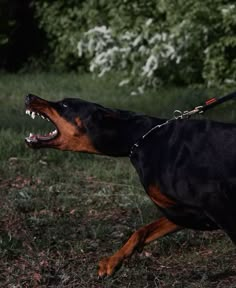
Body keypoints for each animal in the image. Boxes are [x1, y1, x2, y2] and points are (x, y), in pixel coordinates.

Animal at [24, 93, 236, 276]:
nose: (28, 96)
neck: (139, 139)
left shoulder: (215, 203)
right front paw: (113, 261)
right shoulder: (185, 212)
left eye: (65, 105)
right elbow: (141, 231)